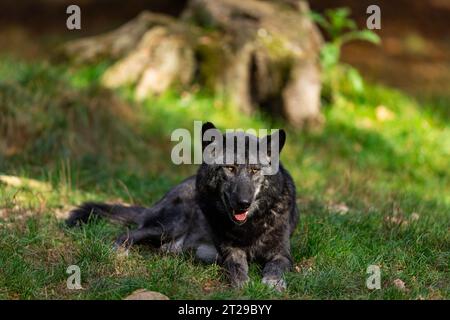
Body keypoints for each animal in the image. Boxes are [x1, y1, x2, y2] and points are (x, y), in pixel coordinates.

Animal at [67, 122, 298, 290]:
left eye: (254, 170)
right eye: (230, 168)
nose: (243, 203)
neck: (249, 226)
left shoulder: (282, 253)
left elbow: (276, 267)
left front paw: (273, 284)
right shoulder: (231, 251)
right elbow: (237, 267)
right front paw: (243, 285)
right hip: (170, 225)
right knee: (128, 234)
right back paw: (119, 252)